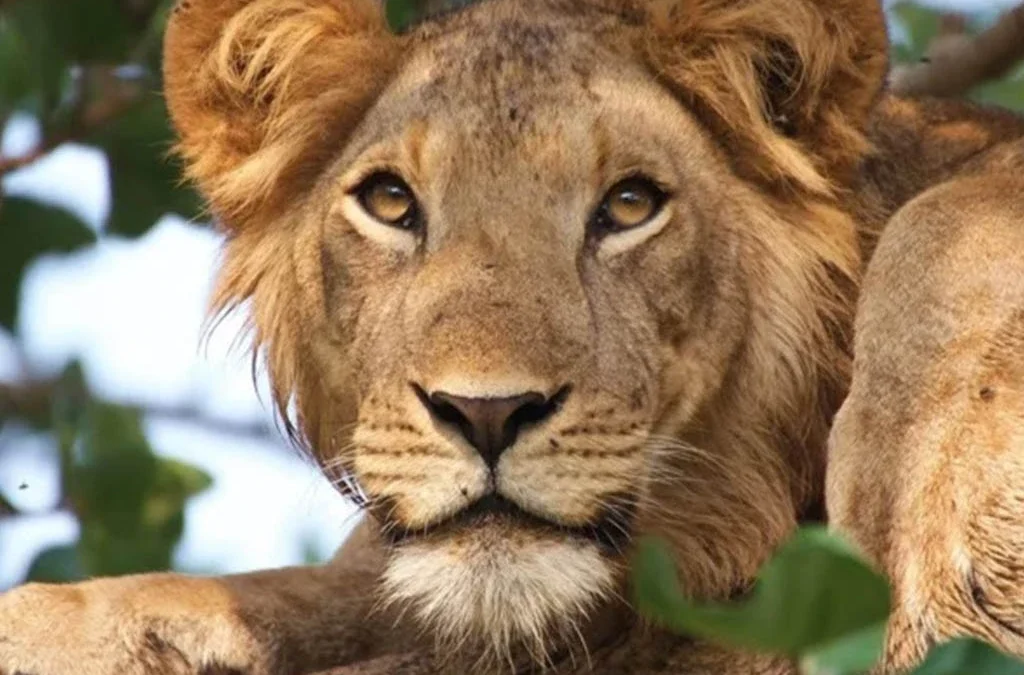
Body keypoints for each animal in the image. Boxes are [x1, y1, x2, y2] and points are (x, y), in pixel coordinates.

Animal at [1, 0, 1022, 673]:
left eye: (630, 205)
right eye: (390, 202)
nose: (486, 413)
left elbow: (950, 230)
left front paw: (939, 557)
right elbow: (280, 590)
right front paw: (58, 622)